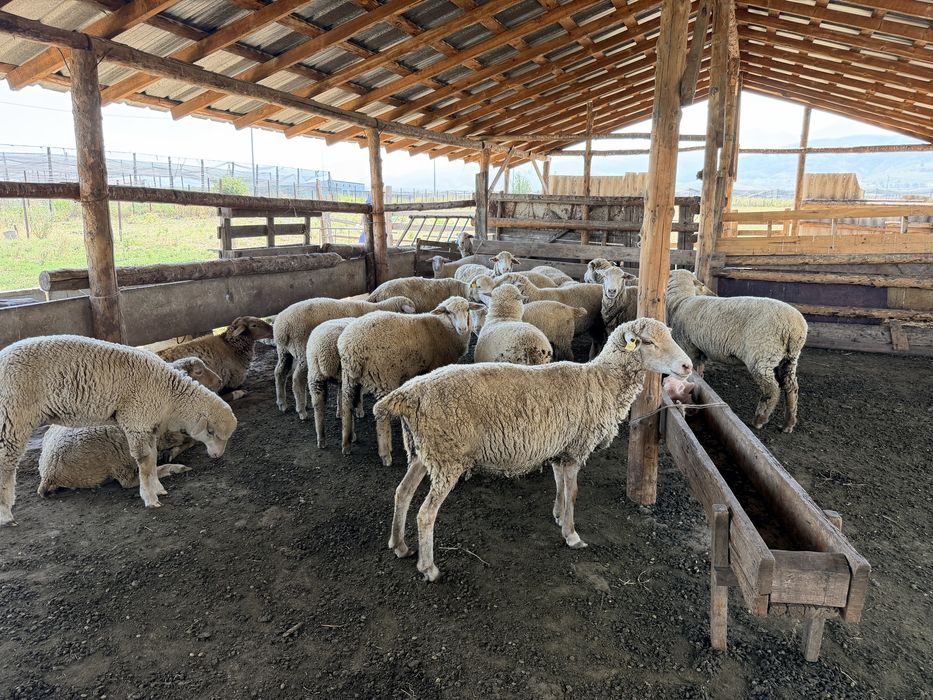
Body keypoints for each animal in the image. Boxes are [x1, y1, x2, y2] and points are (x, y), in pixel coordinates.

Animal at [36, 357, 224, 497]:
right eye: (198, 372)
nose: (220, 381)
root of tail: (49, 472)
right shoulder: (167, 434)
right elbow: (189, 441)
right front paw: (171, 454)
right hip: (118, 455)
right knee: (129, 481)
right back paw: (173, 468)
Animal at [273, 296, 416, 420]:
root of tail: (282, 326)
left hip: (284, 350)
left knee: (279, 372)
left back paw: (282, 403)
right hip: (302, 350)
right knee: (297, 379)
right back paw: (301, 410)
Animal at [338, 296, 484, 466]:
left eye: (467, 309)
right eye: (448, 312)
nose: (462, 328)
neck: (444, 328)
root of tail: (352, 346)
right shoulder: (436, 366)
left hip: (348, 375)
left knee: (346, 405)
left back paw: (346, 444)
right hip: (383, 376)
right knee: (381, 415)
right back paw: (386, 454)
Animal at [374, 318, 693, 582]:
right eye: (648, 342)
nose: (688, 367)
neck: (601, 382)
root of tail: (407, 393)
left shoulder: (560, 447)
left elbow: (560, 485)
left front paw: (558, 515)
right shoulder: (576, 448)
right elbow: (573, 491)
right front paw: (571, 535)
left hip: (424, 452)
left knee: (402, 493)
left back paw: (399, 545)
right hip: (447, 457)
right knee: (425, 514)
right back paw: (429, 568)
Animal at [666, 269, 807, 433]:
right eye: (701, 286)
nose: (715, 295)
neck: (681, 302)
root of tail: (795, 327)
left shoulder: (689, 346)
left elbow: (693, 372)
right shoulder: (700, 350)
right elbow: (699, 371)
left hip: (763, 354)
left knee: (772, 390)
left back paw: (759, 419)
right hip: (789, 359)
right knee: (791, 388)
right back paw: (788, 423)